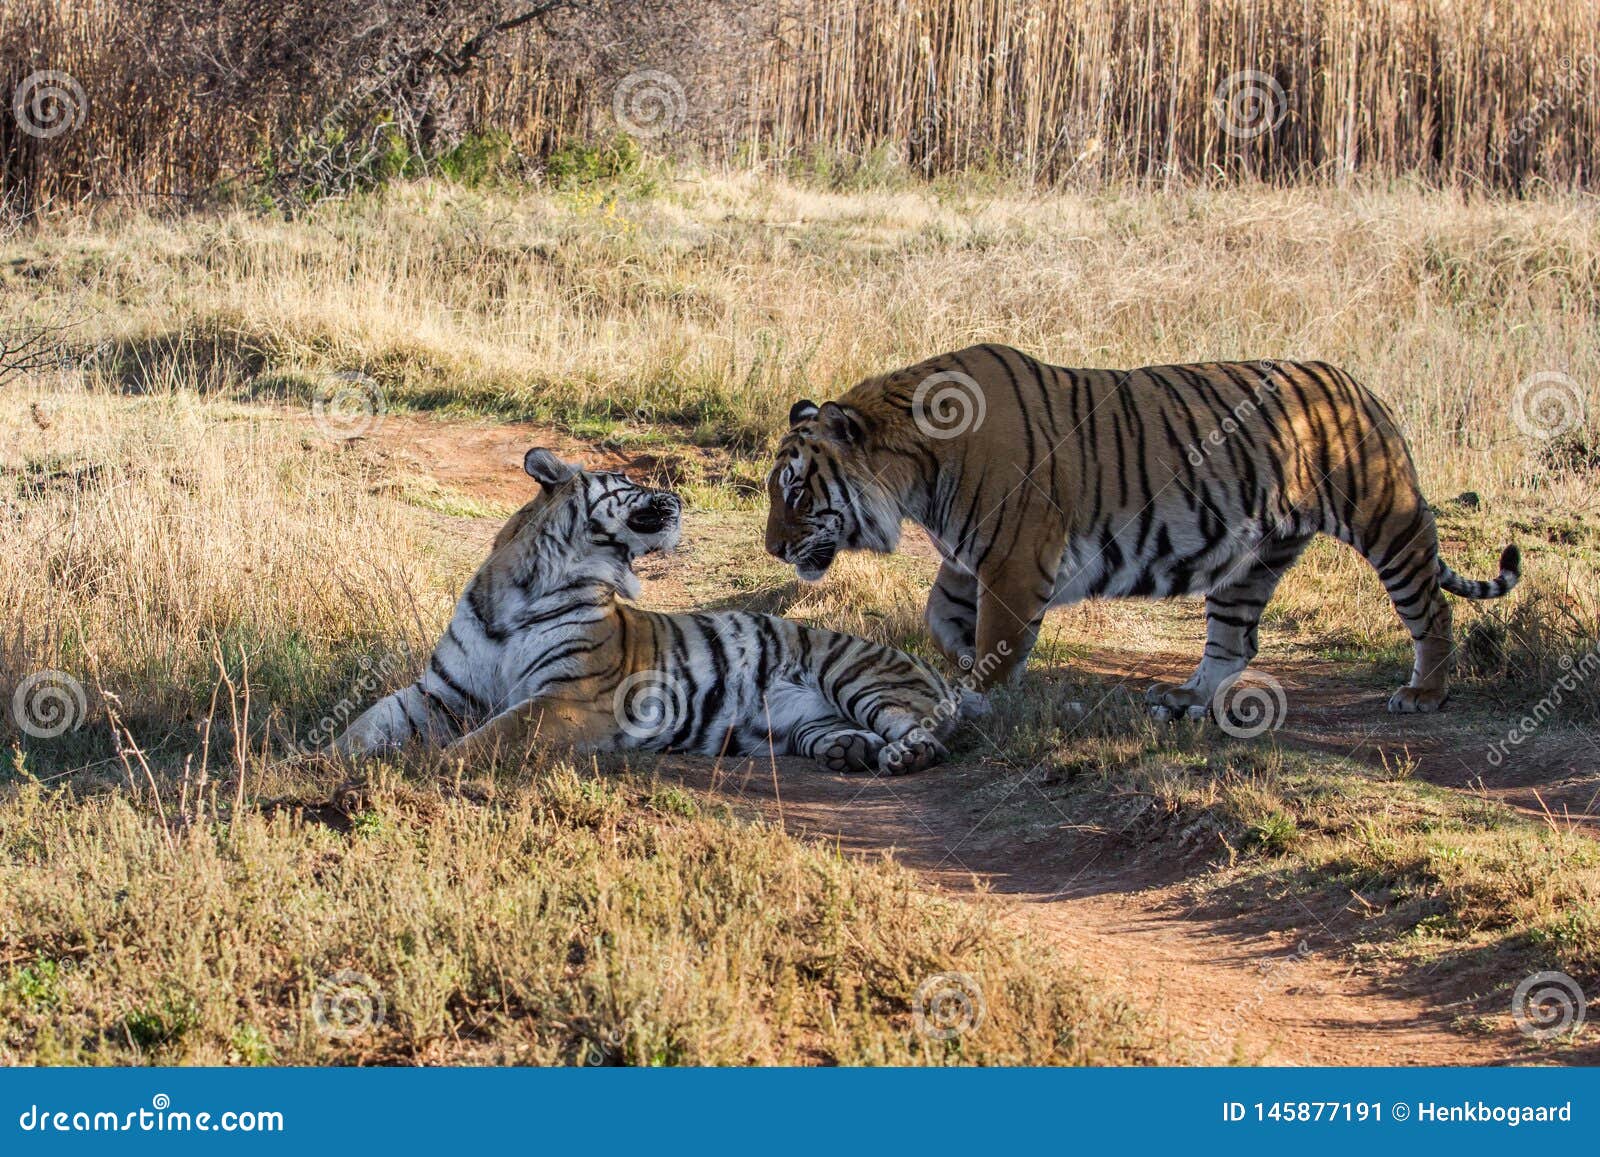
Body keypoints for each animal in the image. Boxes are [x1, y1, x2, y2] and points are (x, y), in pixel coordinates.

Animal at [328, 448, 972, 774]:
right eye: (628, 478)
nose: (680, 495)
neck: (524, 590)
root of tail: (934, 669)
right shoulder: (439, 692)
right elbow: (368, 721)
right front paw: (315, 759)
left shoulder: (569, 696)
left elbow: (496, 732)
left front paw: (434, 762)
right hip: (807, 723)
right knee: (840, 733)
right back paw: (852, 752)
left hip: (857, 677)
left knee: (924, 733)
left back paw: (904, 755)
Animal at [768, 342, 1516, 713]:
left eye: (797, 492)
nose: (774, 549)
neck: (916, 474)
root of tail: (1358, 384)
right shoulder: (966, 556)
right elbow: (940, 616)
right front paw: (959, 664)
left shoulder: (1015, 556)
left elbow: (996, 635)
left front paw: (980, 693)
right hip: (1254, 559)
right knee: (1234, 642)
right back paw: (1186, 699)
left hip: (1386, 520)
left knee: (1433, 609)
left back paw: (1424, 694)